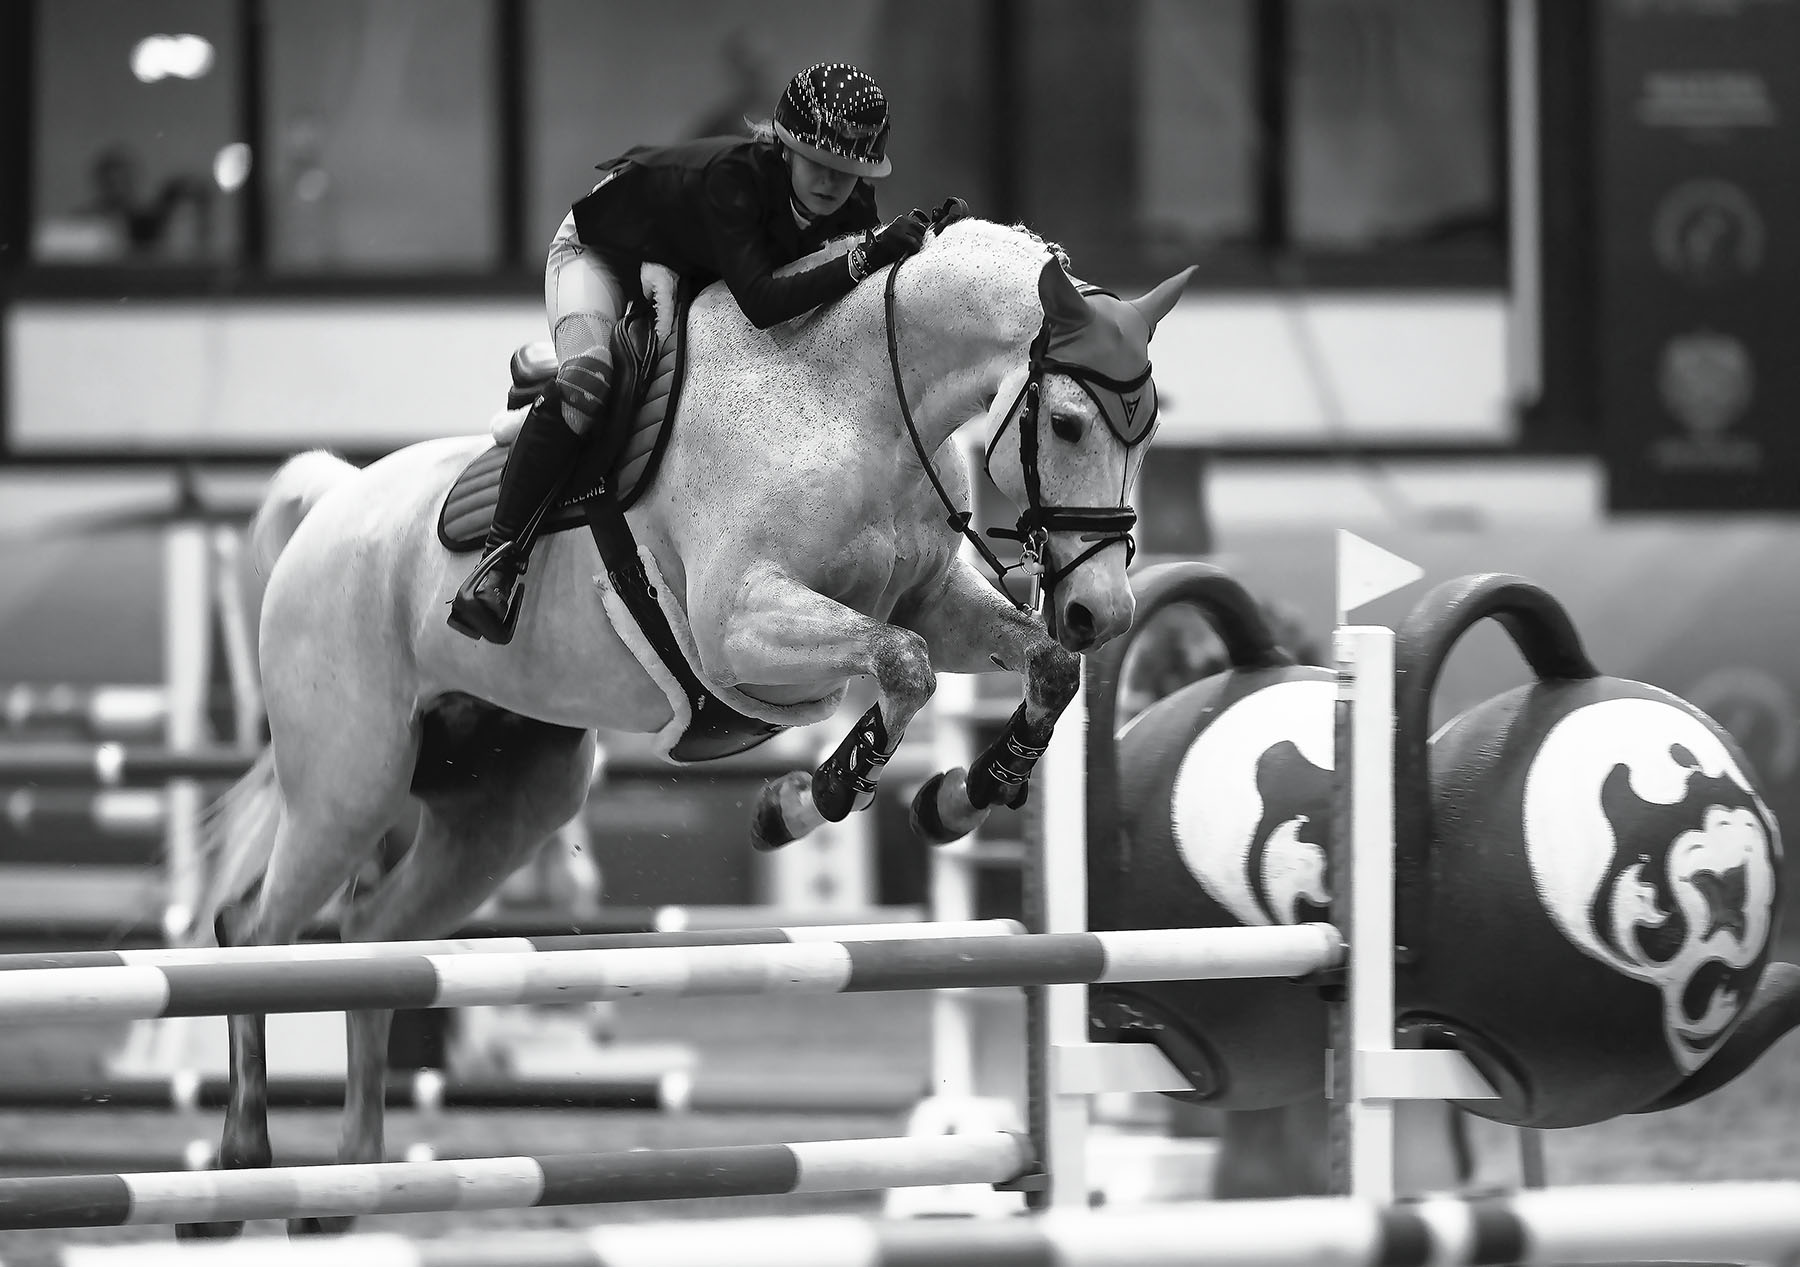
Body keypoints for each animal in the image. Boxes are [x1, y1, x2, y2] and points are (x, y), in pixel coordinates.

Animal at [179, 216, 1196, 1238]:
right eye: (1065, 423)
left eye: (1149, 429)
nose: (1103, 613)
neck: (855, 397)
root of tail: (333, 506)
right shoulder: (742, 625)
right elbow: (900, 664)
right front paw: (807, 798)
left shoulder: (936, 601)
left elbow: (1035, 666)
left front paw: (961, 796)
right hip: (351, 782)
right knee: (256, 932)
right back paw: (235, 1174)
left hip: (505, 809)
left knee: (374, 944)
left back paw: (344, 1188)